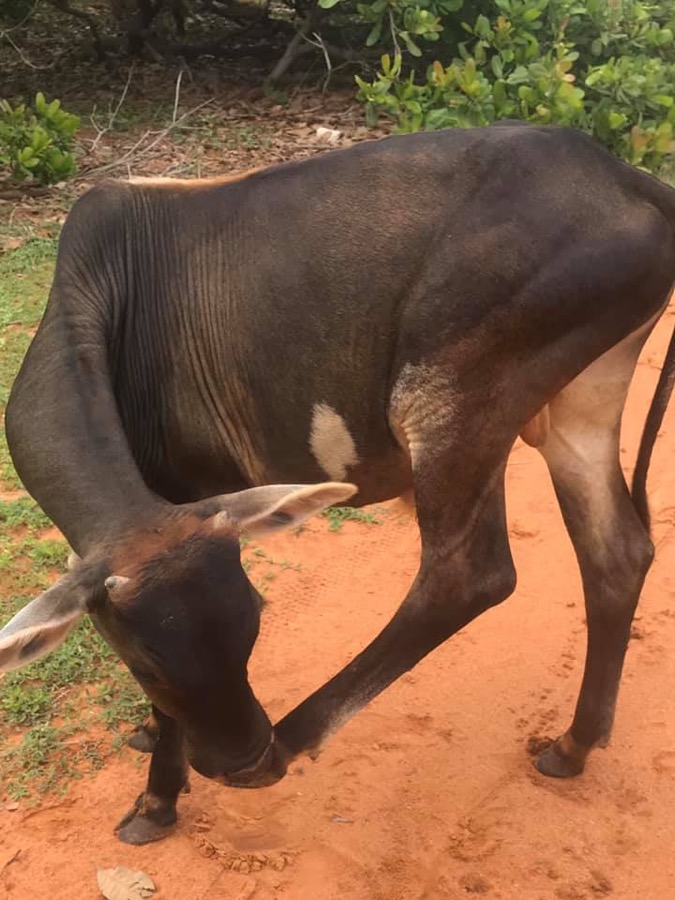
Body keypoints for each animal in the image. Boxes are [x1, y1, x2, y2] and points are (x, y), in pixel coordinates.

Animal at [1, 124, 674, 846]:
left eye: (253, 622)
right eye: (144, 665)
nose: (240, 762)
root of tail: (627, 177)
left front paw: (157, 800)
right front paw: (151, 737)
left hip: (452, 397)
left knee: (469, 575)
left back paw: (292, 739)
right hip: (579, 401)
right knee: (616, 554)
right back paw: (573, 745)